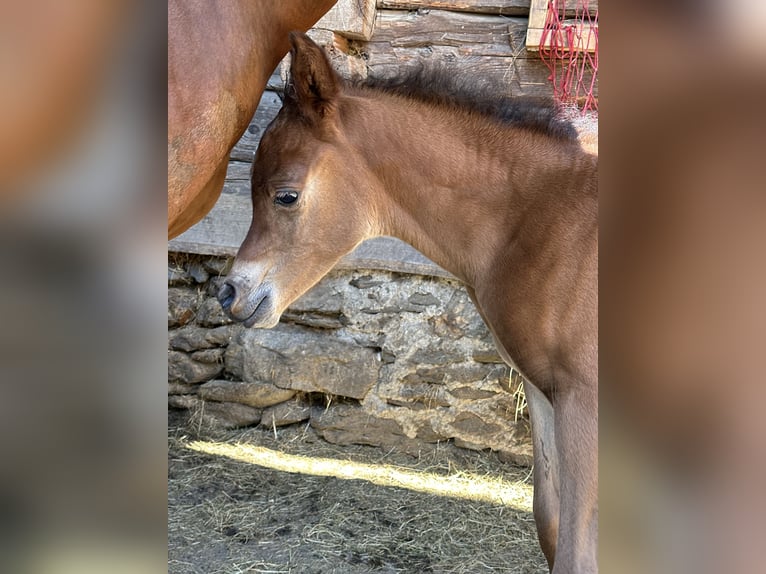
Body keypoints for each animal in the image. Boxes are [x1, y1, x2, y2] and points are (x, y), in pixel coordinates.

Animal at [218, 33, 600, 572]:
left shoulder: (584, 397)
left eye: (286, 196)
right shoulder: (545, 390)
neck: (542, 216)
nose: (230, 293)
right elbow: (549, 522)